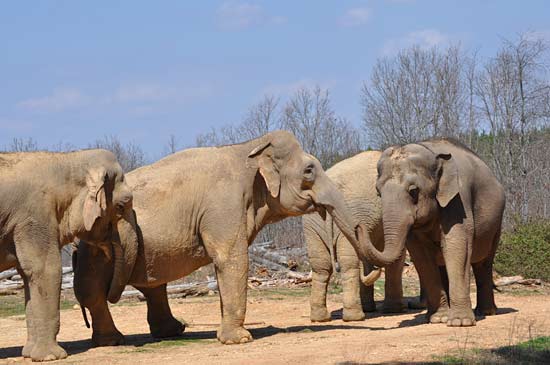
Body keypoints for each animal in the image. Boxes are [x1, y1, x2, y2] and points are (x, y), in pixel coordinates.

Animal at [0, 149, 138, 360]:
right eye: (122, 206)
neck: (66, 159)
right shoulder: (36, 216)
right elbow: (46, 270)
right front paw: (52, 357)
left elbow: (27, 274)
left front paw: (30, 354)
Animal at [72, 129, 376, 346]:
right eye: (309, 171)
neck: (249, 147)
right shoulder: (223, 206)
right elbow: (232, 259)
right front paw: (240, 340)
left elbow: (225, 266)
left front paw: (227, 335)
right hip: (92, 246)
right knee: (94, 289)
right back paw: (115, 341)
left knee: (151, 285)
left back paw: (173, 331)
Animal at [304, 151, 408, 322]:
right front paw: (395, 310)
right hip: (349, 215)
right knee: (349, 263)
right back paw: (355, 317)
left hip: (313, 222)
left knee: (321, 265)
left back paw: (320, 318)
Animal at [358, 139, 508, 328]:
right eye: (378, 192)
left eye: (413, 191)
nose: (358, 227)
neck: (430, 151)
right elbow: (422, 257)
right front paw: (438, 319)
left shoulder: (458, 200)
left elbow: (457, 247)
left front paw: (460, 322)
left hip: (496, 224)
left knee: (483, 262)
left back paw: (486, 312)